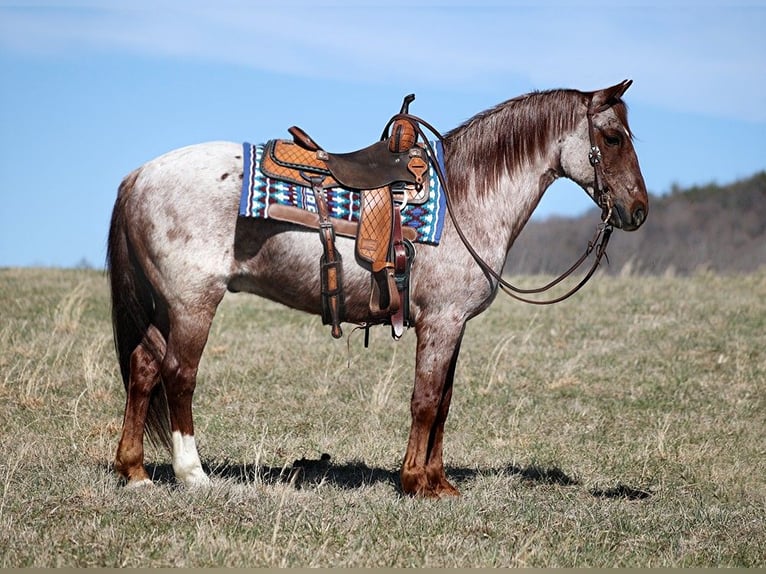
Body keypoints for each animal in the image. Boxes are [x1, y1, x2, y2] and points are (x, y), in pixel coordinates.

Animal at [106, 80, 648, 500]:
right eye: (612, 137)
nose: (638, 210)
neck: (467, 198)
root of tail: (138, 176)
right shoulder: (442, 322)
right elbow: (426, 399)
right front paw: (415, 482)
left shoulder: (452, 325)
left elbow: (444, 401)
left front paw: (439, 482)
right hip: (193, 303)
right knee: (179, 375)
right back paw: (193, 474)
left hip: (165, 306)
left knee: (144, 367)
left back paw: (135, 471)